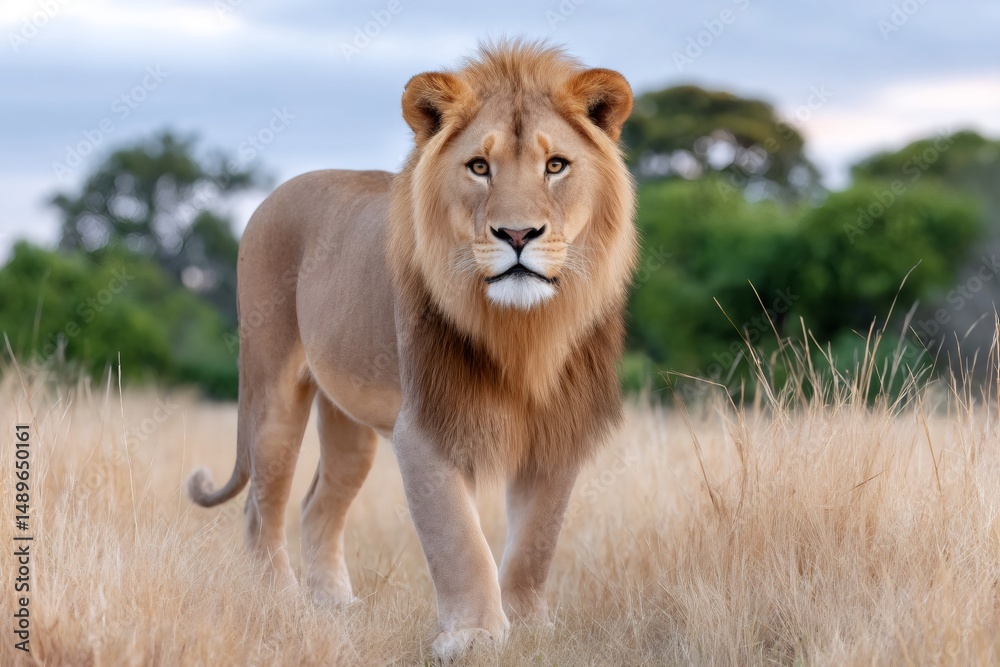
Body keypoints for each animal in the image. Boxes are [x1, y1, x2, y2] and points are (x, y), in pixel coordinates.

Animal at [186, 40, 637, 661]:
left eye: (556, 166)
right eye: (479, 167)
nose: (518, 235)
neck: (523, 333)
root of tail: (275, 193)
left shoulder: (557, 429)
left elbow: (537, 539)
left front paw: (528, 626)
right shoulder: (425, 427)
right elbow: (458, 538)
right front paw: (474, 636)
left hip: (348, 420)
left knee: (317, 505)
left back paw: (334, 605)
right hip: (271, 387)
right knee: (262, 506)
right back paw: (279, 602)